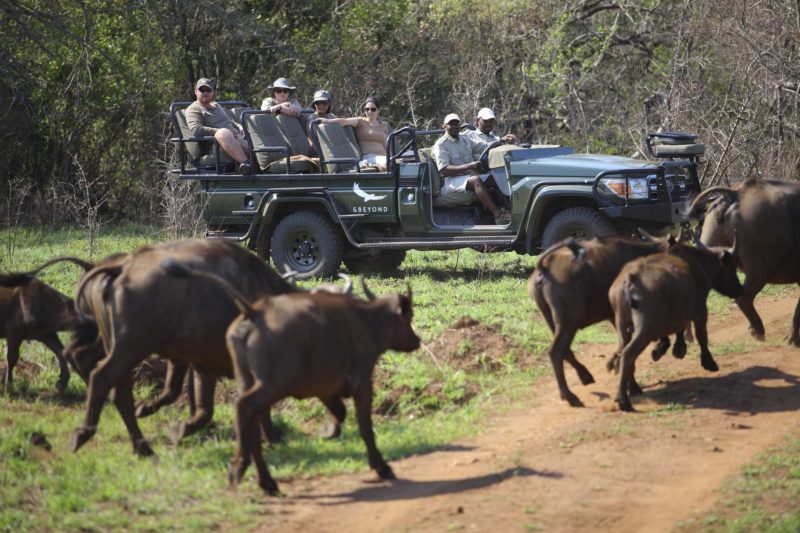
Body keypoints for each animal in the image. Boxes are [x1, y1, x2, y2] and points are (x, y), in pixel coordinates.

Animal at [157, 258, 418, 494]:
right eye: (408, 318)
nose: (416, 341)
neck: (365, 320)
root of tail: (254, 313)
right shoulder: (362, 383)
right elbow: (365, 426)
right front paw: (382, 467)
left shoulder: (326, 388)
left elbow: (339, 412)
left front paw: (328, 431)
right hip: (271, 385)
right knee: (243, 408)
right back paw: (240, 469)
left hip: (248, 381)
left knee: (249, 422)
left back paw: (266, 480)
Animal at [532, 235, 676, 406]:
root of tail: (543, 268)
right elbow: (629, 347)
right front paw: (632, 384)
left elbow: (626, 346)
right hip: (568, 322)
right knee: (556, 352)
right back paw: (571, 396)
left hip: (553, 321)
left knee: (565, 351)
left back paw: (584, 376)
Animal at [608, 238, 744, 412]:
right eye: (732, 267)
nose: (739, 289)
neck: (698, 265)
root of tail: (630, 279)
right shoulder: (700, 309)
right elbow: (702, 336)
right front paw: (709, 362)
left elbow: (677, 330)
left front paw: (674, 348)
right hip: (645, 329)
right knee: (627, 354)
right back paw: (623, 400)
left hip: (622, 327)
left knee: (620, 353)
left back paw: (633, 388)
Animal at [688, 179, 800, 344]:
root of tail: (734, 194)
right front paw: (792, 340)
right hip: (761, 267)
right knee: (743, 298)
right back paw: (758, 331)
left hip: (709, 238)